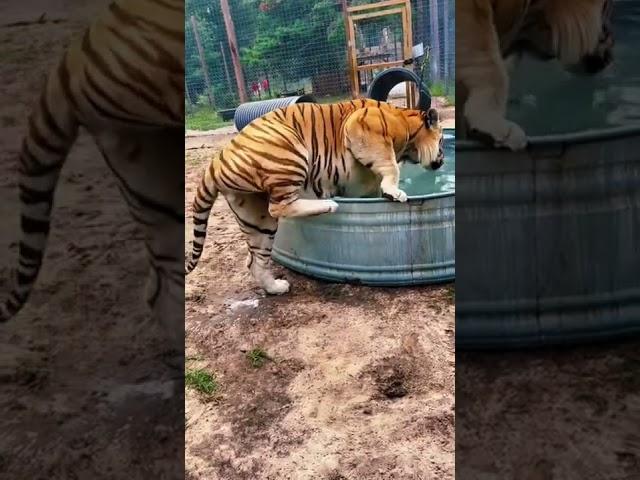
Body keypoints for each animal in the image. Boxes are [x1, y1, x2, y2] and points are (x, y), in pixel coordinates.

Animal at [186, 100, 444, 296]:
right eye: (441, 140)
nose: (441, 160)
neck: (406, 122)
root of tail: (216, 161)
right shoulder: (362, 126)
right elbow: (391, 166)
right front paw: (395, 191)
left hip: (255, 216)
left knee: (255, 259)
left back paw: (276, 288)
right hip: (289, 150)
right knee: (279, 207)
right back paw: (328, 204)